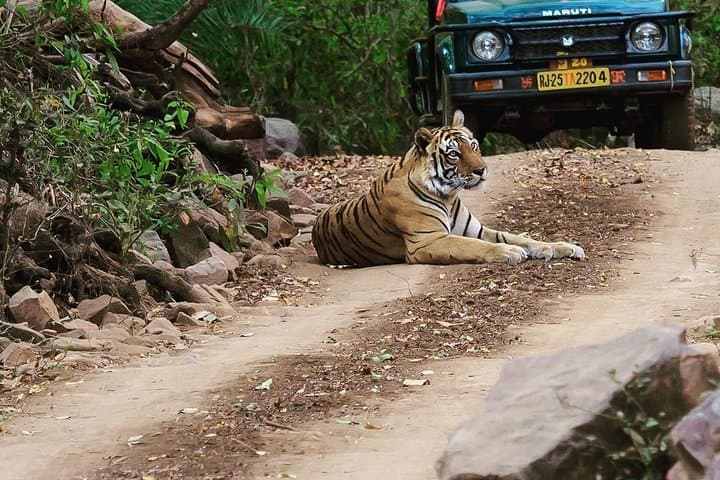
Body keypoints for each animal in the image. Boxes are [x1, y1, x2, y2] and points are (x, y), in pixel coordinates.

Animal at [311, 110, 585, 267]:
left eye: (473, 145)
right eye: (454, 154)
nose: (482, 170)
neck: (449, 195)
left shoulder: (477, 230)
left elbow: (522, 237)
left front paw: (562, 247)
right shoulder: (427, 241)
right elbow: (473, 246)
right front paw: (509, 252)